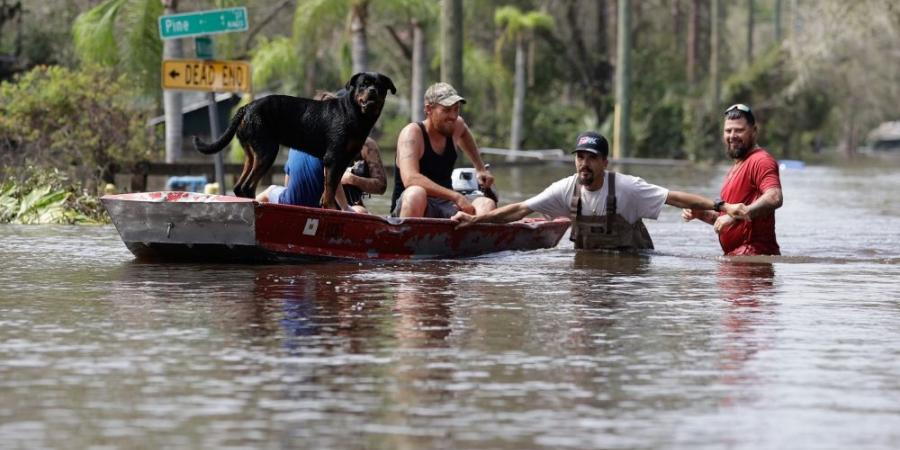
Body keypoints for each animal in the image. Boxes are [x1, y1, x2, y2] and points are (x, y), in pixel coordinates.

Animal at [193, 72, 394, 209]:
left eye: (380, 86)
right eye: (363, 85)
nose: (372, 91)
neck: (353, 113)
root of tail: (246, 107)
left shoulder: (342, 161)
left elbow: (329, 189)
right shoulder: (333, 159)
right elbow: (330, 190)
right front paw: (331, 209)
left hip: (252, 153)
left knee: (238, 186)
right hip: (267, 151)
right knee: (246, 185)